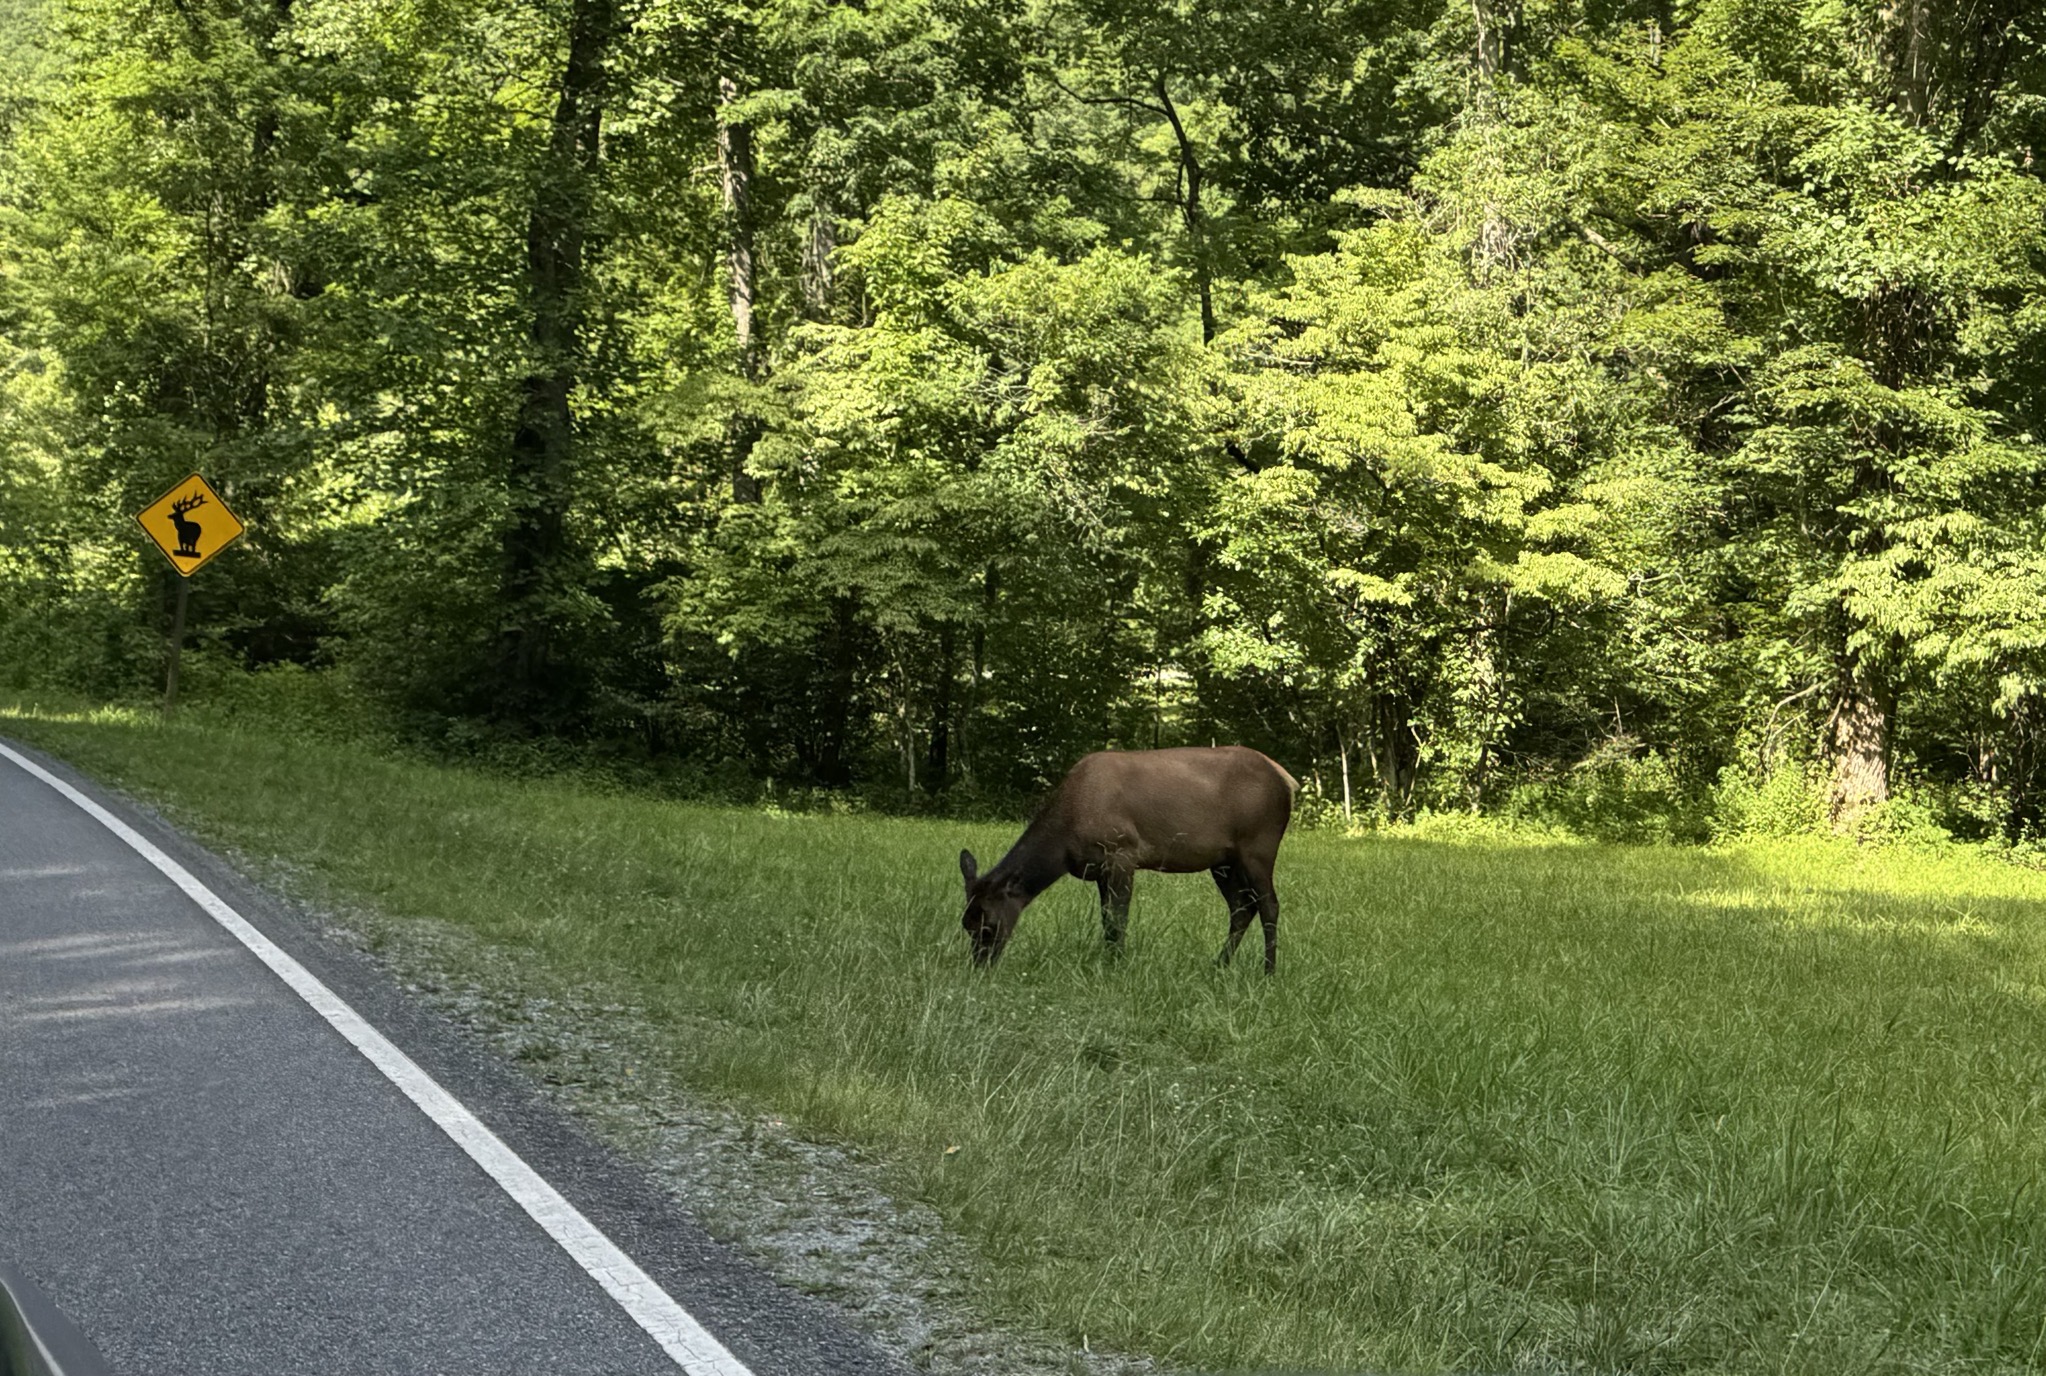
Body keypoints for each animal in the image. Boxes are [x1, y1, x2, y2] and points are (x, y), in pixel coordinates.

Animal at [958, 746, 1298, 972]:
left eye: (988, 924)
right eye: (966, 924)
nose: (979, 966)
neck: (1065, 842)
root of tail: (1287, 781)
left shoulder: (1122, 851)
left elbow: (1118, 917)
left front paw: (1116, 966)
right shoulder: (1098, 868)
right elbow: (1106, 916)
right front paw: (1110, 960)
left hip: (1259, 844)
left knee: (1269, 904)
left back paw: (1268, 971)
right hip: (1223, 860)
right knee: (1242, 906)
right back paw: (1219, 965)